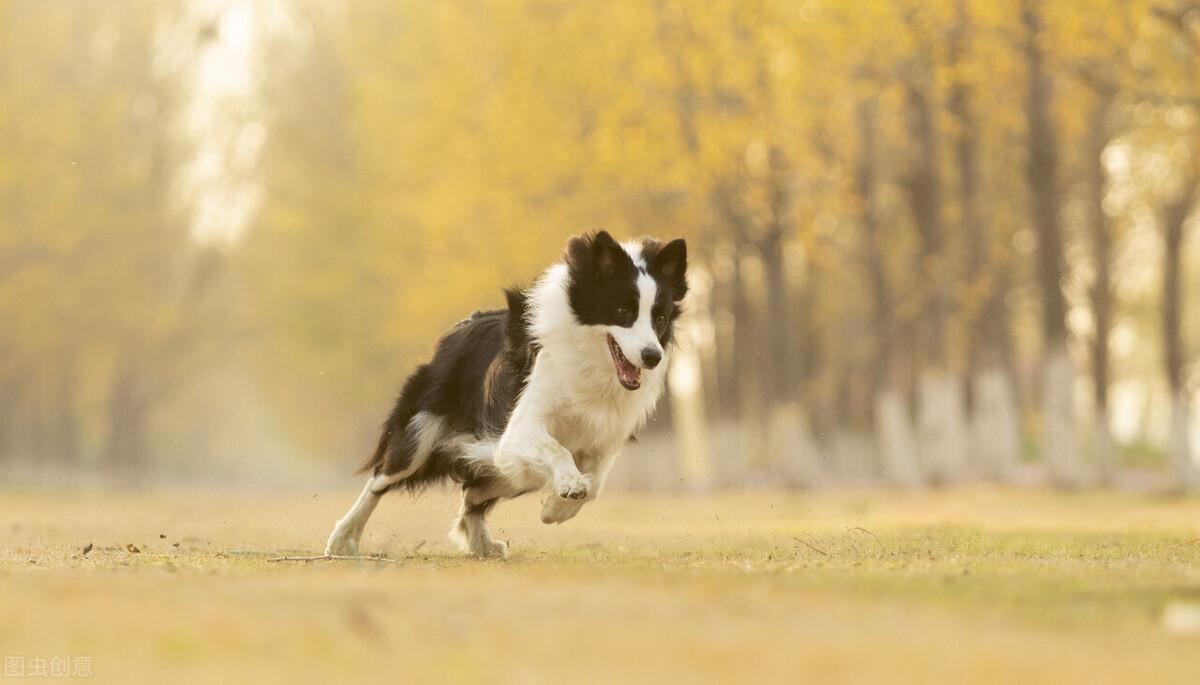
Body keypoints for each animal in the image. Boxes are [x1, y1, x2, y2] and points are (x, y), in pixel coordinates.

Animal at [324, 230, 691, 556]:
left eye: (659, 317)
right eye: (622, 311)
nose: (652, 356)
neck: (592, 362)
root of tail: (461, 326)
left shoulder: (606, 436)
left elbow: (597, 482)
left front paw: (554, 508)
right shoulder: (519, 426)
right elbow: (557, 448)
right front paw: (569, 487)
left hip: (504, 468)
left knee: (473, 495)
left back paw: (482, 543)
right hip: (422, 432)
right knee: (381, 480)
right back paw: (342, 539)